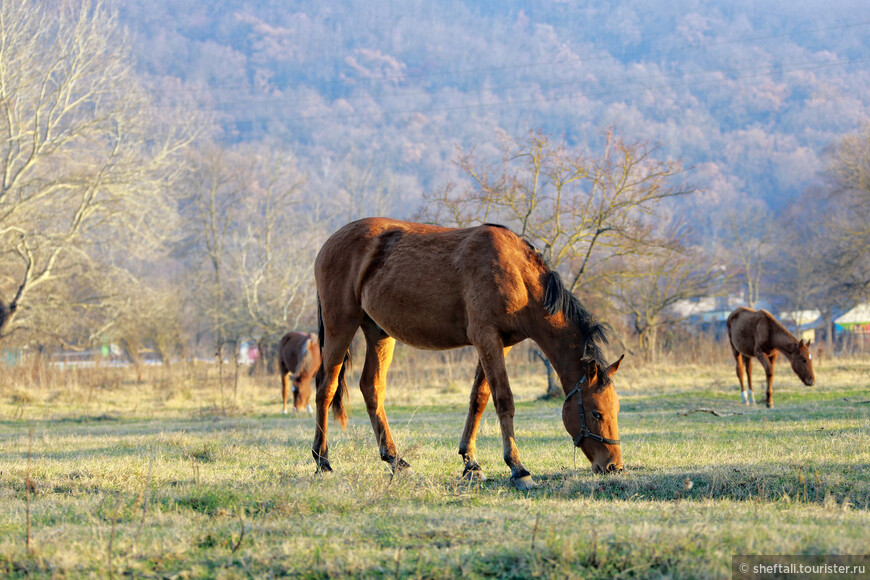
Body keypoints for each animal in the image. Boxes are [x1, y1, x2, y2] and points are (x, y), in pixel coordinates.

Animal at [310, 218, 624, 490]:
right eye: (596, 413)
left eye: (615, 410)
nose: (613, 466)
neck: (517, 274)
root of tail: (329, 243)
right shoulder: (486, 338)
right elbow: (503, 400)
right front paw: (518, 468)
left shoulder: (501, 343)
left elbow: (479, 399)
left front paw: (470, 462)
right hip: (341, 326)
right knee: (326, 388)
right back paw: (322, 462)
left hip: (378, 333)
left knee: (371, 388)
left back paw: (396, 461)